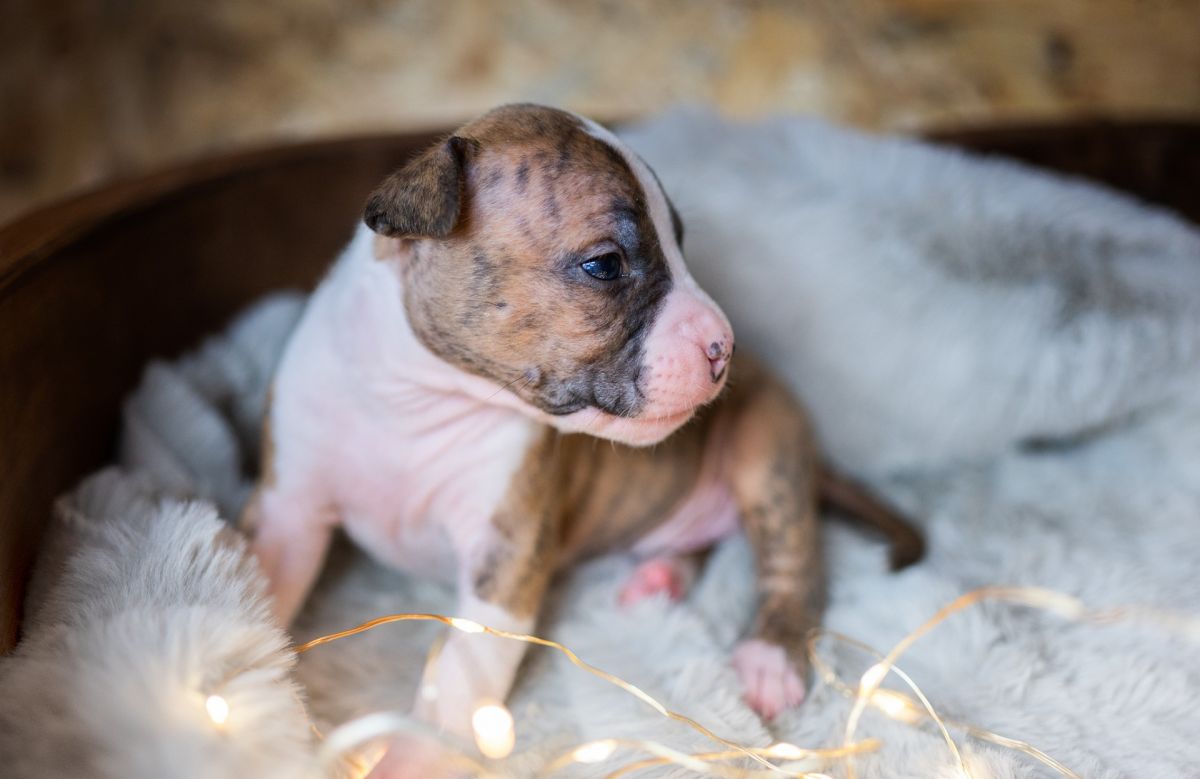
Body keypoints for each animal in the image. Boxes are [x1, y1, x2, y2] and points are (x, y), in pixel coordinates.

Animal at [242, 103, 923, 773]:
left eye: (681, 244)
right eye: (605, 265)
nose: (724, 346)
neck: (410, 401)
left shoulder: (504, 557)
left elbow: (457, 680)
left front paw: (408, 758)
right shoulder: (287, 512)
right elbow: (256, 590)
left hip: (765, 449)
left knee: (794, 561)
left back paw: (767, 659)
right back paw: (660, 576)